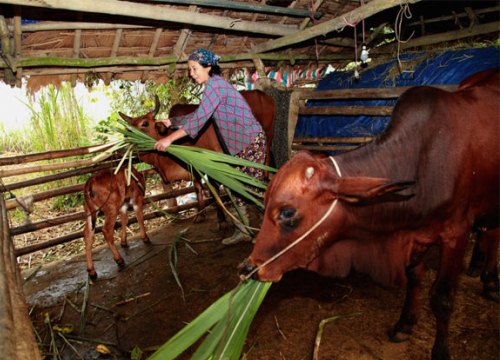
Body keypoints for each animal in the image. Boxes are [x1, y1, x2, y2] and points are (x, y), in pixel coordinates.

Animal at [240, 69, 498, 360]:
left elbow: (442, 298)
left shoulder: (457, 233)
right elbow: (415, 278)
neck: (420, 162)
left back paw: (489, 280)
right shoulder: (413, 236)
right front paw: (405, 324)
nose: (249, 267)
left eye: (287, 212)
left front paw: (440, 351)